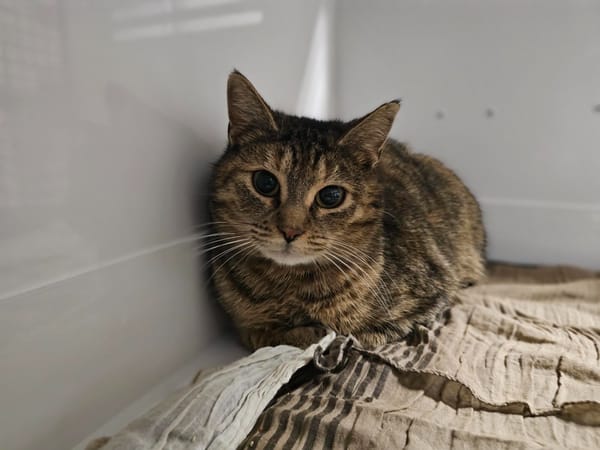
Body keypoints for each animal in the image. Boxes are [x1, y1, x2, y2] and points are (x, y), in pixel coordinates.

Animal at [206, 70, 486, 350]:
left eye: (331, 197)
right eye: (265, 182)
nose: (290, 231)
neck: (290, 286)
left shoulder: (427, 302)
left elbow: (353, 334)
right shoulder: (247, 326)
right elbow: (265, 335)